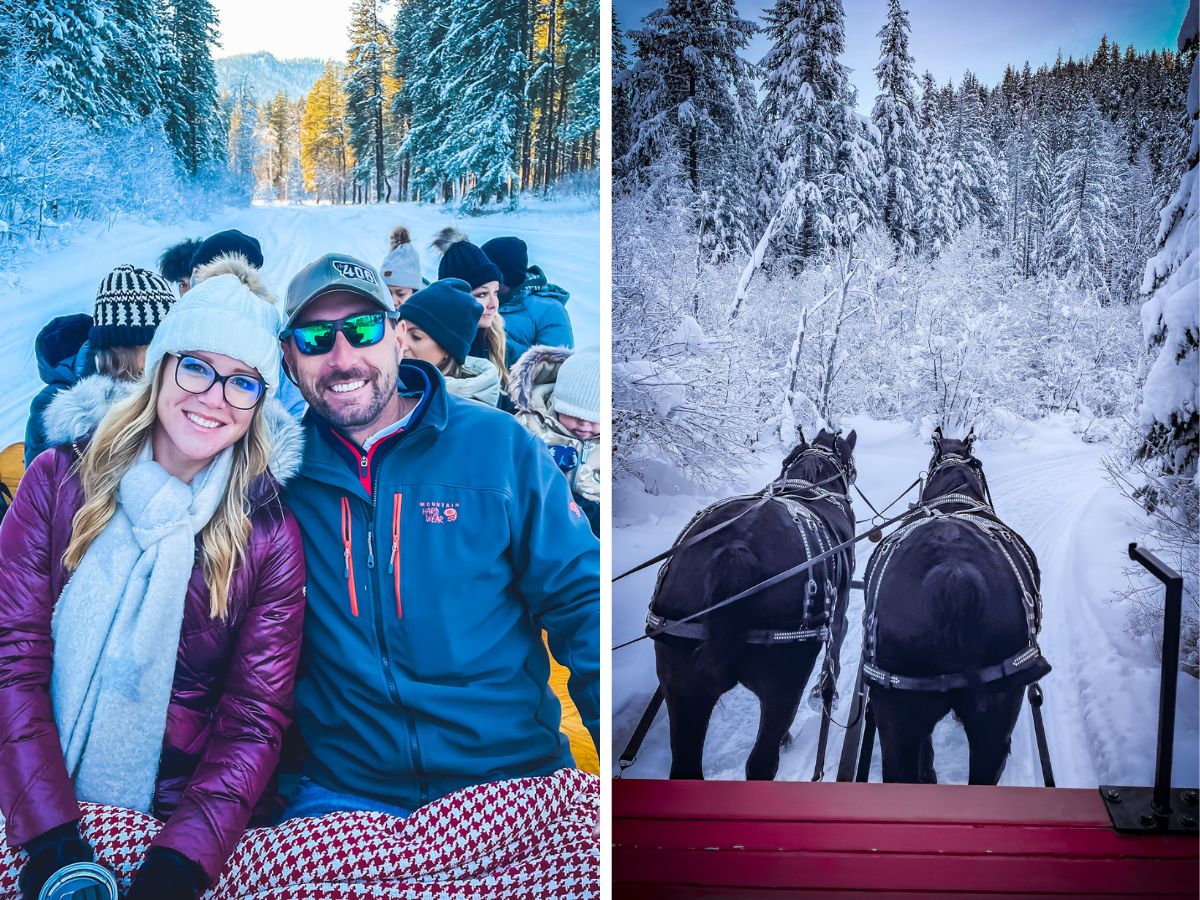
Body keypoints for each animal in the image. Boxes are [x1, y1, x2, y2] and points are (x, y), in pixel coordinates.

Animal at [652, 429, 859, 782]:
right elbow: (833, 655)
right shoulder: (838, 617)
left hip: (679, 685)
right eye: (850, 462)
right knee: (762, 762)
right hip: (784, 678)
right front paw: (824, 694)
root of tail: (735, 550)